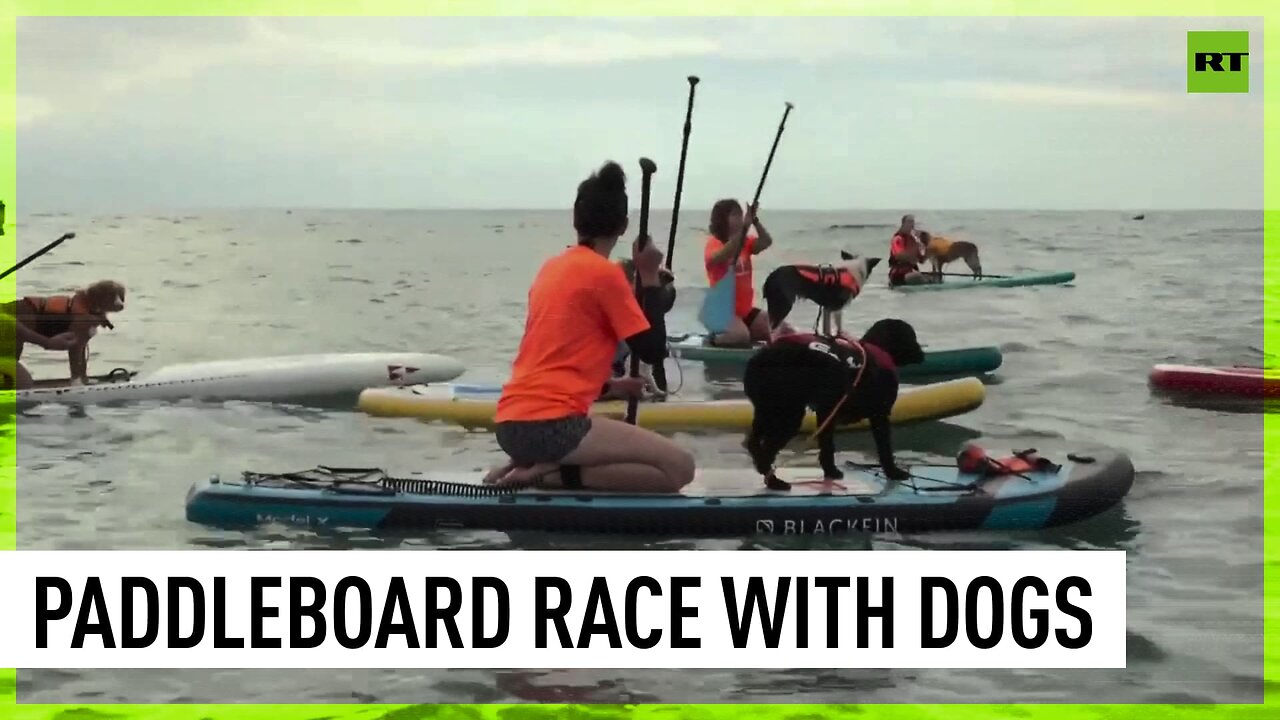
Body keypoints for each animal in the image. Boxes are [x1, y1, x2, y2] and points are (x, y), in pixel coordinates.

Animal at [747, 317, 926, 489]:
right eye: (912, 335)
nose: (922, 353)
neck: (878, 349)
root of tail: (759, 359)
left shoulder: (826, 413)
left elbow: (826, 445)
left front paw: (830, 471)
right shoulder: (879, 416)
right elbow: (885, 450)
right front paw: (893, 472)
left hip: (766, 412)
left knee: (753, 443)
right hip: (788, 416)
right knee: (766, 451)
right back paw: (774, 482)